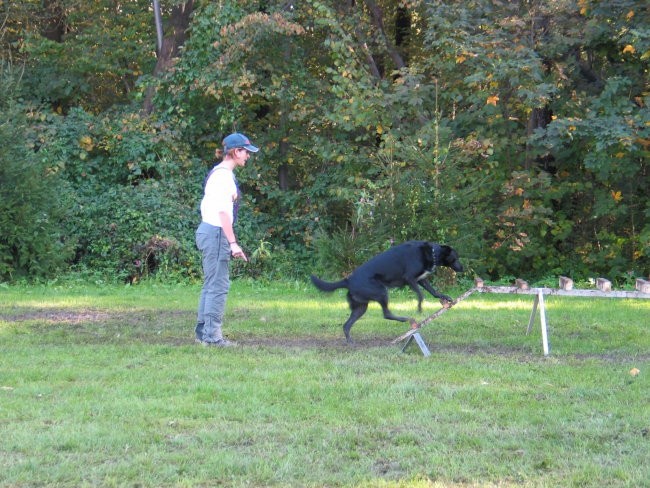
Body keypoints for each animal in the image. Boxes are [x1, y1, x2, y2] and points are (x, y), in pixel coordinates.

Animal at [310, 241, 458, 344]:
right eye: (456, 258)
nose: (462, 268)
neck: (431, 252)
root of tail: (348, 280)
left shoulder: (420, 279)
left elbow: (433, 291)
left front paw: (444, 297)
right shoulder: (410, 278)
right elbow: (421, 295)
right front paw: (420, 307)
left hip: (361, 307)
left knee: (347, 325)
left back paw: (350, 341)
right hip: (381, 292)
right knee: (387, 314)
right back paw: (406, 319)